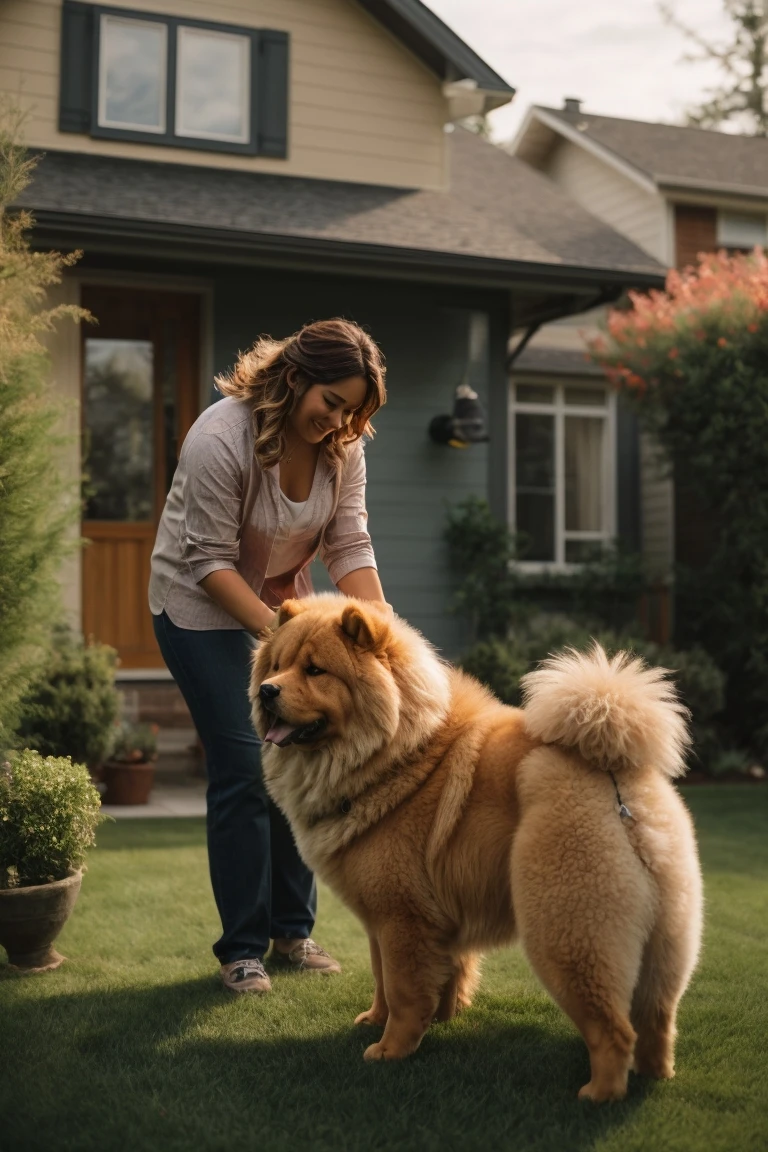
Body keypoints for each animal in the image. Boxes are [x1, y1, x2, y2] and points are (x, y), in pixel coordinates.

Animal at [252, 599, 704, 1101]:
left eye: (315, 670)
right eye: (276, 665)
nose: (267, 691)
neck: (397, 753)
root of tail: (617, 784)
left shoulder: (402, 918)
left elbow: (403, 990)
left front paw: (391, 1049)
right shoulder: (394, 922)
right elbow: (392, 979)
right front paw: (395, 1019)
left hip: (565, 930)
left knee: (614, 1028)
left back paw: (599, 1094)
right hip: (667, 938)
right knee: (658, 1018)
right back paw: (654, 1075)